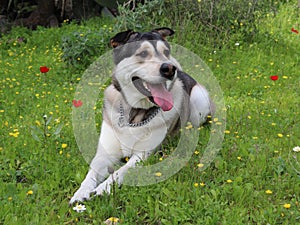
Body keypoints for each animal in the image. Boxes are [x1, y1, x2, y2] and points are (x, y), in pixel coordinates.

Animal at [69, 26, 213, 204]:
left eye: (166, 52)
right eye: (143, 53)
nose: (170, 69)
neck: (135, 111)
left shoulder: (143, 155)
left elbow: (120, 171)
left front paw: (103, 188)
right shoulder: (105, 154)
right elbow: (91, 173)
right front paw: (81, 193)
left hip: (197, 99)